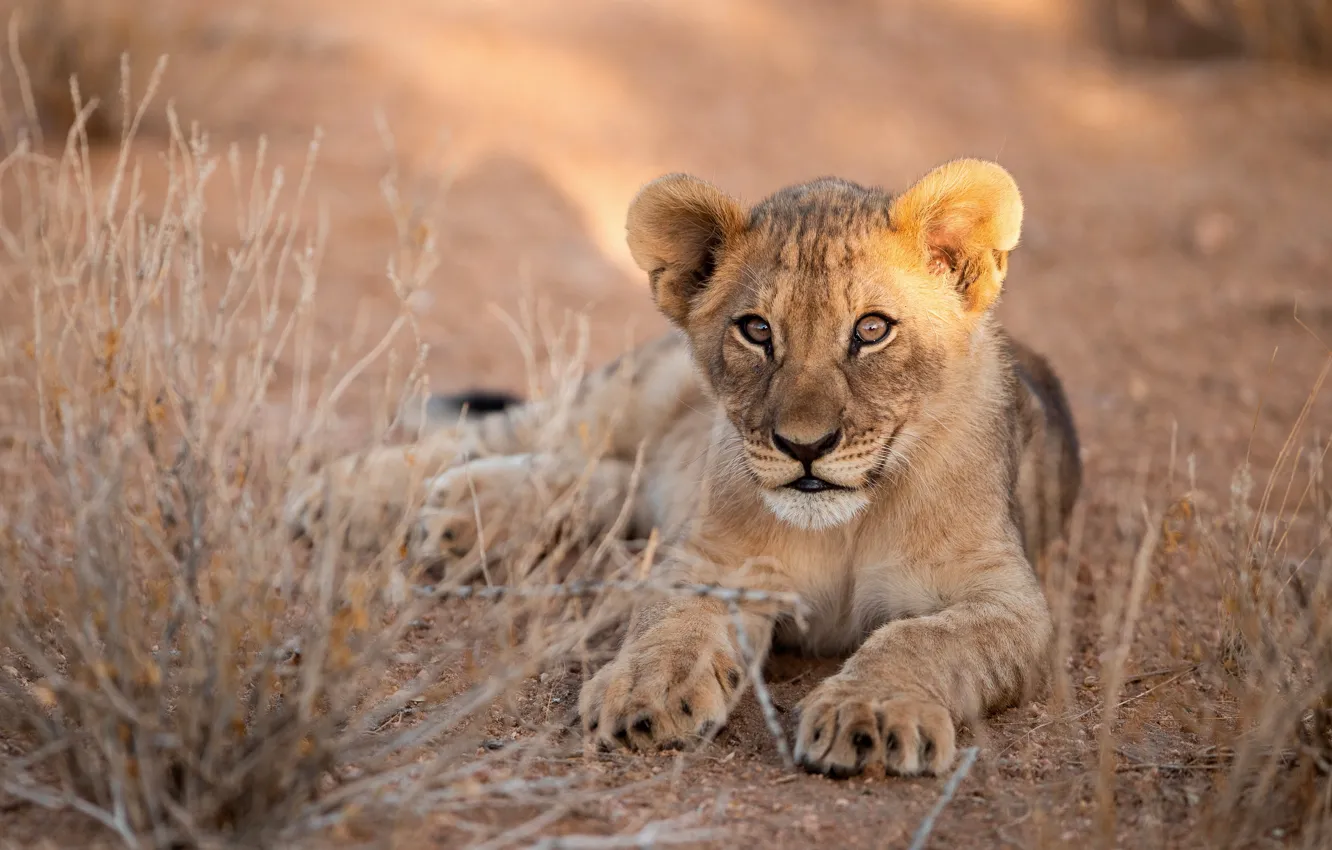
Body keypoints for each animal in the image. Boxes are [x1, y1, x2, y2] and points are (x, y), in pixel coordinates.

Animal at [285, 158, 1082, 778]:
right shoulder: (712, 559)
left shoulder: (1012, 600)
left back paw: (463, 518)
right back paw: (343, 497)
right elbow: (672, 621)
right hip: (620, 397)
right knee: (509, 435)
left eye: (872, 330)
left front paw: (872, 714)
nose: (804, 446)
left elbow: (923, 638)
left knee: (609, 481)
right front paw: (644, 691)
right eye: (756, 330)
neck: (848, 525)